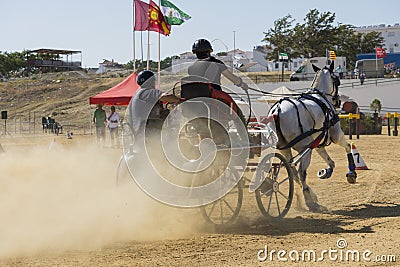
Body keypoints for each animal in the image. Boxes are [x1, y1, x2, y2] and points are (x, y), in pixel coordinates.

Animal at [268, 61, 356, 213]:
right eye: (337, 80)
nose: (338, 101)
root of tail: (277, 111)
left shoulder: (318, 143)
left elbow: (331, 162)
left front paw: (326, 172)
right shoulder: (336, 135)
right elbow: (348, 146)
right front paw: (352, 173)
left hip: (285, 149)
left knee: (293, 172)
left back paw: (308, 197)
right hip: (304, 148)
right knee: (301, 172)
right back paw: (310, 200)